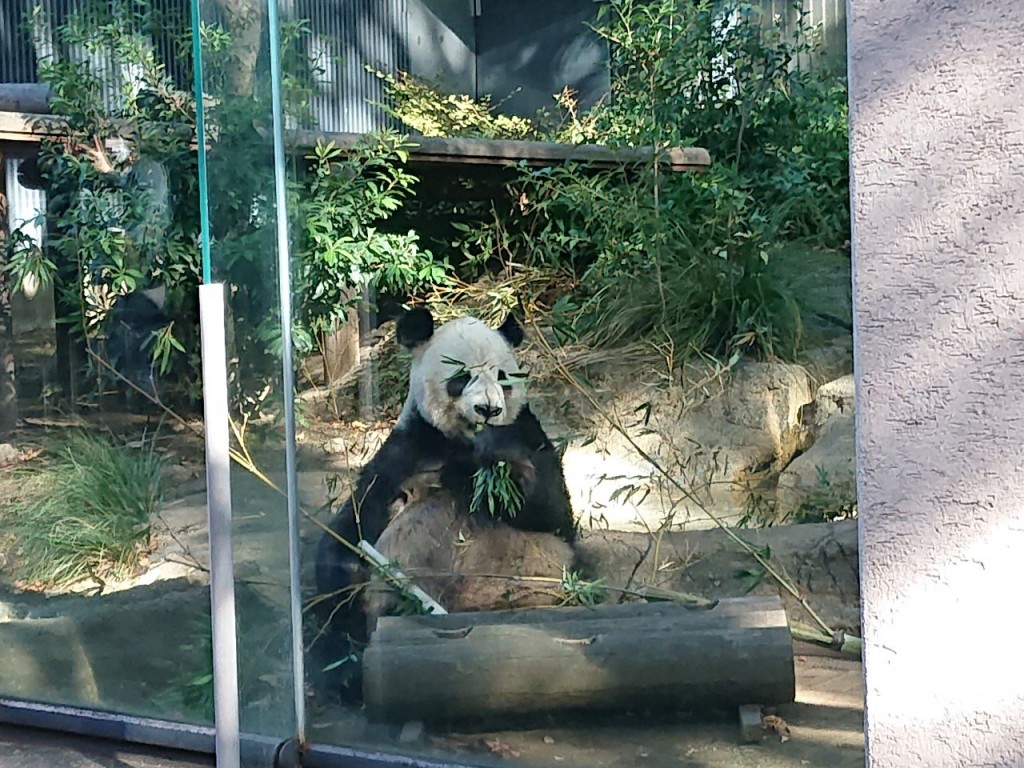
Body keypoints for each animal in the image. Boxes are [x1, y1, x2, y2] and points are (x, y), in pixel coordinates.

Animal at [311, 309, 577, 704]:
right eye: (461, 377)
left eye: (503, 377)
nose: (488, 410)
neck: (462, 446)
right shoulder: (408, 449)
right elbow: (352, 530)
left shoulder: (530, 435)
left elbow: (554, 513)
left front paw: (501, 458)